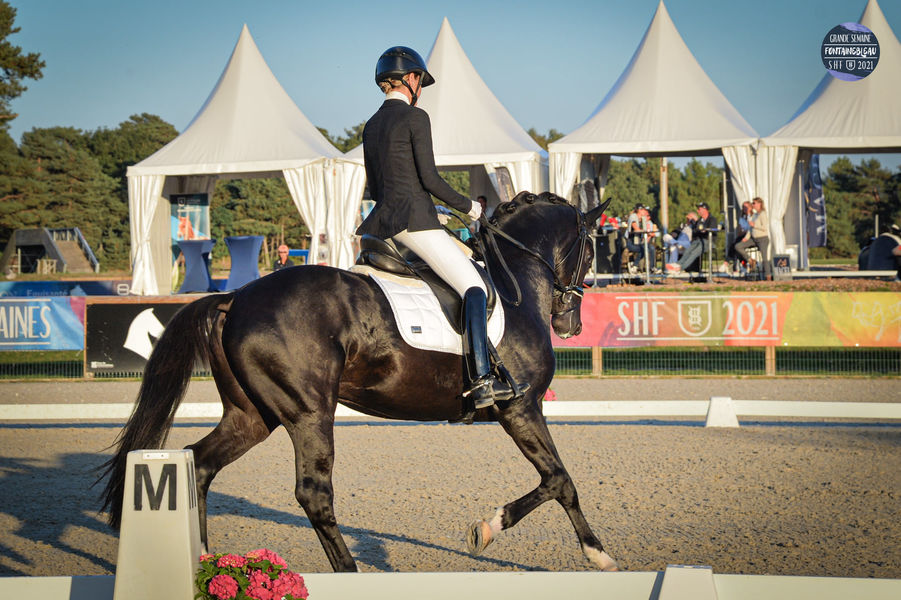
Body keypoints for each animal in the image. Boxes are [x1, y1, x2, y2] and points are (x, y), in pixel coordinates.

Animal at [100, 191, 620, 572]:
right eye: (592, 247)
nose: (571, 324)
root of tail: (235, 297)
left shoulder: (522, 410)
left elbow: (557, 479)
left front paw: (497, 530)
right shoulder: (520, 407)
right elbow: (559, 479)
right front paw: (588, 551)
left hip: (252, 415)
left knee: (200, 465)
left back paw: (204, 562)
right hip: (308, 412)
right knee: (313, 493)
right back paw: (347, 572)